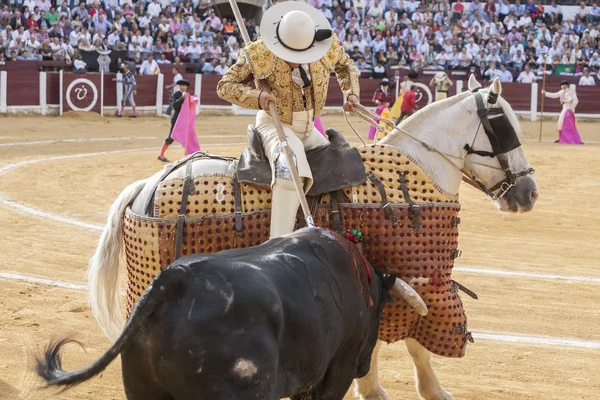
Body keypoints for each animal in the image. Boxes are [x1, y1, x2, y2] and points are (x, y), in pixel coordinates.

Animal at [85, 76, 540, 400]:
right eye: (504, 128)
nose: (529, 193)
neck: (417, 168)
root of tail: (147, 185)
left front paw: (371, 387)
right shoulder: (420, 278)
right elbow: (415, 341)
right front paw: (428, 392)